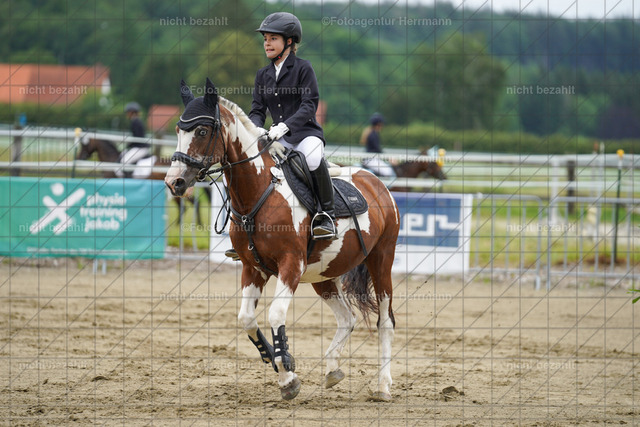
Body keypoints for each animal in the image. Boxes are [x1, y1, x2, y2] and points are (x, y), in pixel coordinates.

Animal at [165, 78, 400, 402]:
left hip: (381, 261)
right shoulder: (253, 268)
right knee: (347, 318)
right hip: (323, 275)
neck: (258, 192)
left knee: (385, 321)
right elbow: (246, 319)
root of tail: (376, 181)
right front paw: (274, 358)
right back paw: (332, 370)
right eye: (178, 130)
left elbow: (276, 314)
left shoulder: (291, 265)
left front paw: (287, 375)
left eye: (201, 131)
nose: (173, 182)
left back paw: (383, 386)